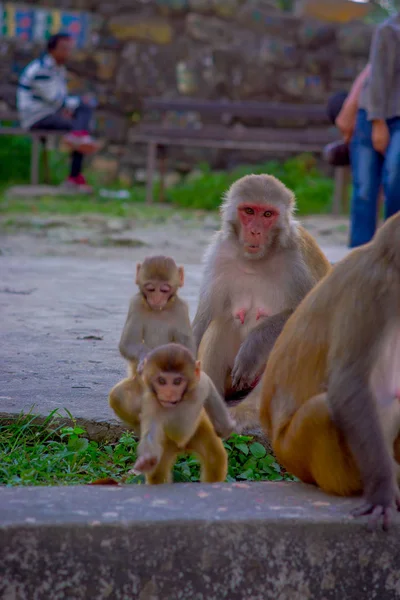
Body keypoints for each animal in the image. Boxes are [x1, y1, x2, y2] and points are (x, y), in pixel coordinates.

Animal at [108, 255, 195, 434]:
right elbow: (127, 343)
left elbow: (188, 349)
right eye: (150, 289)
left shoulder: (181, 308)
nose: (156, 299)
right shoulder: (135, 304)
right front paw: (146, 358)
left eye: (164, 290)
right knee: (119, 395)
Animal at [132, 344, 231, 486]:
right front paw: (145, 461)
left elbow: (211, 391)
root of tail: (183, 448)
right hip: (167, 443)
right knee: (158, 472)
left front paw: (225, 427)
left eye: (177, 381)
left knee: (214, 458)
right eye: (162, 381)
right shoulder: (151, 404)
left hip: (199, 430)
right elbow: (150, 433)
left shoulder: (201, 383)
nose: (169, 393)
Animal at [192, 173, 330, 422]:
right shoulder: (218, 254)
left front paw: (253, 347)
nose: (255, 231)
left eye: (267, 214)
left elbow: (314, 316)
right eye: (249, 211)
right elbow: (205, 317)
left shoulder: (297, 262)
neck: (255, 261)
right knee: (221, 322)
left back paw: (249, 411)